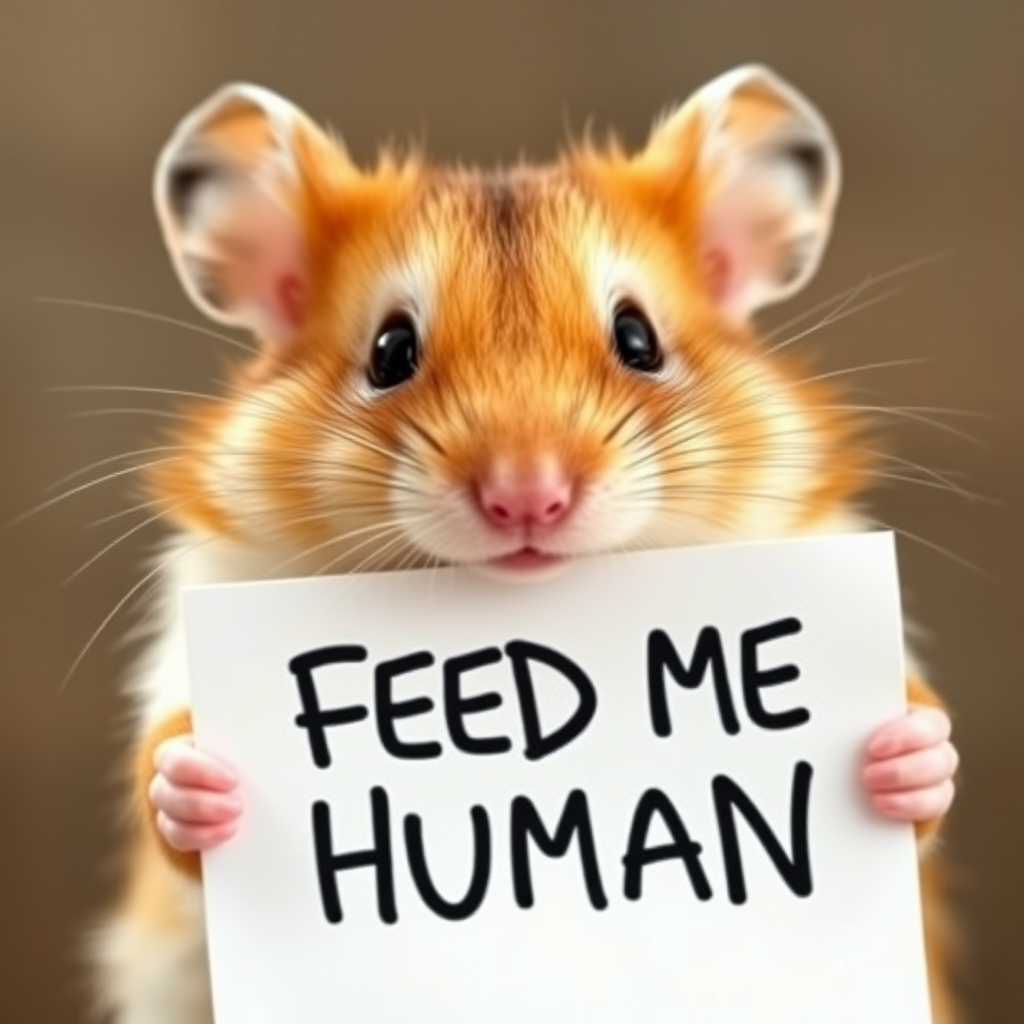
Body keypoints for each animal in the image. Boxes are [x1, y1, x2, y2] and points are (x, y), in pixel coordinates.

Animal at [89, 66, 959, 1024]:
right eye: (390, 351)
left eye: (638, 338)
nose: (527, 497)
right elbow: (163, 766)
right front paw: (199, 782)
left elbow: (926, 738)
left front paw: (905, 752)